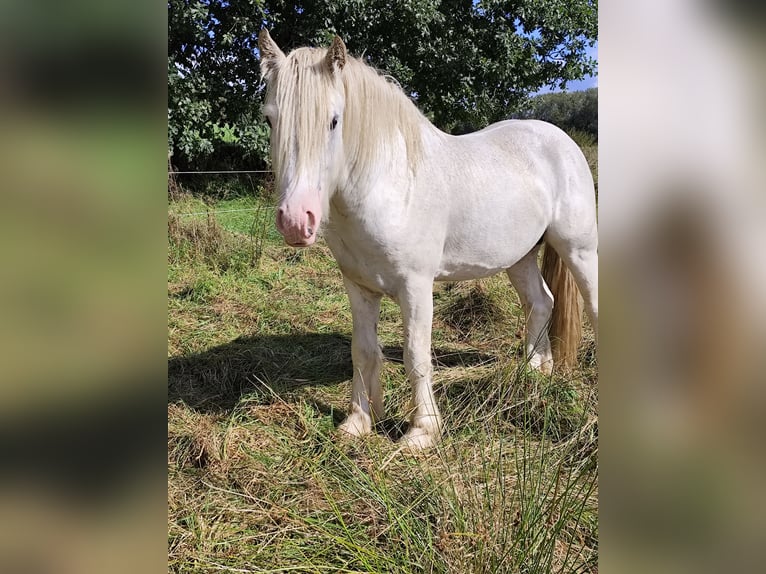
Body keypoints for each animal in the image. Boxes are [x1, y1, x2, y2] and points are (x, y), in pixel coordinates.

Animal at [258, 30, 600, 450]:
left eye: (334, 121)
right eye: (269, 118)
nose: (295, 220)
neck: (388, 186)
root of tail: (562, 142)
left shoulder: (416, 288)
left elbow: (415, 356)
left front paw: (421, 432)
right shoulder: (358, 287)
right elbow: (363, 351)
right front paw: (358, 422)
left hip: (579, 250)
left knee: (592, 305)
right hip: (518, 258)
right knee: (540, 302)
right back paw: (536, 370)